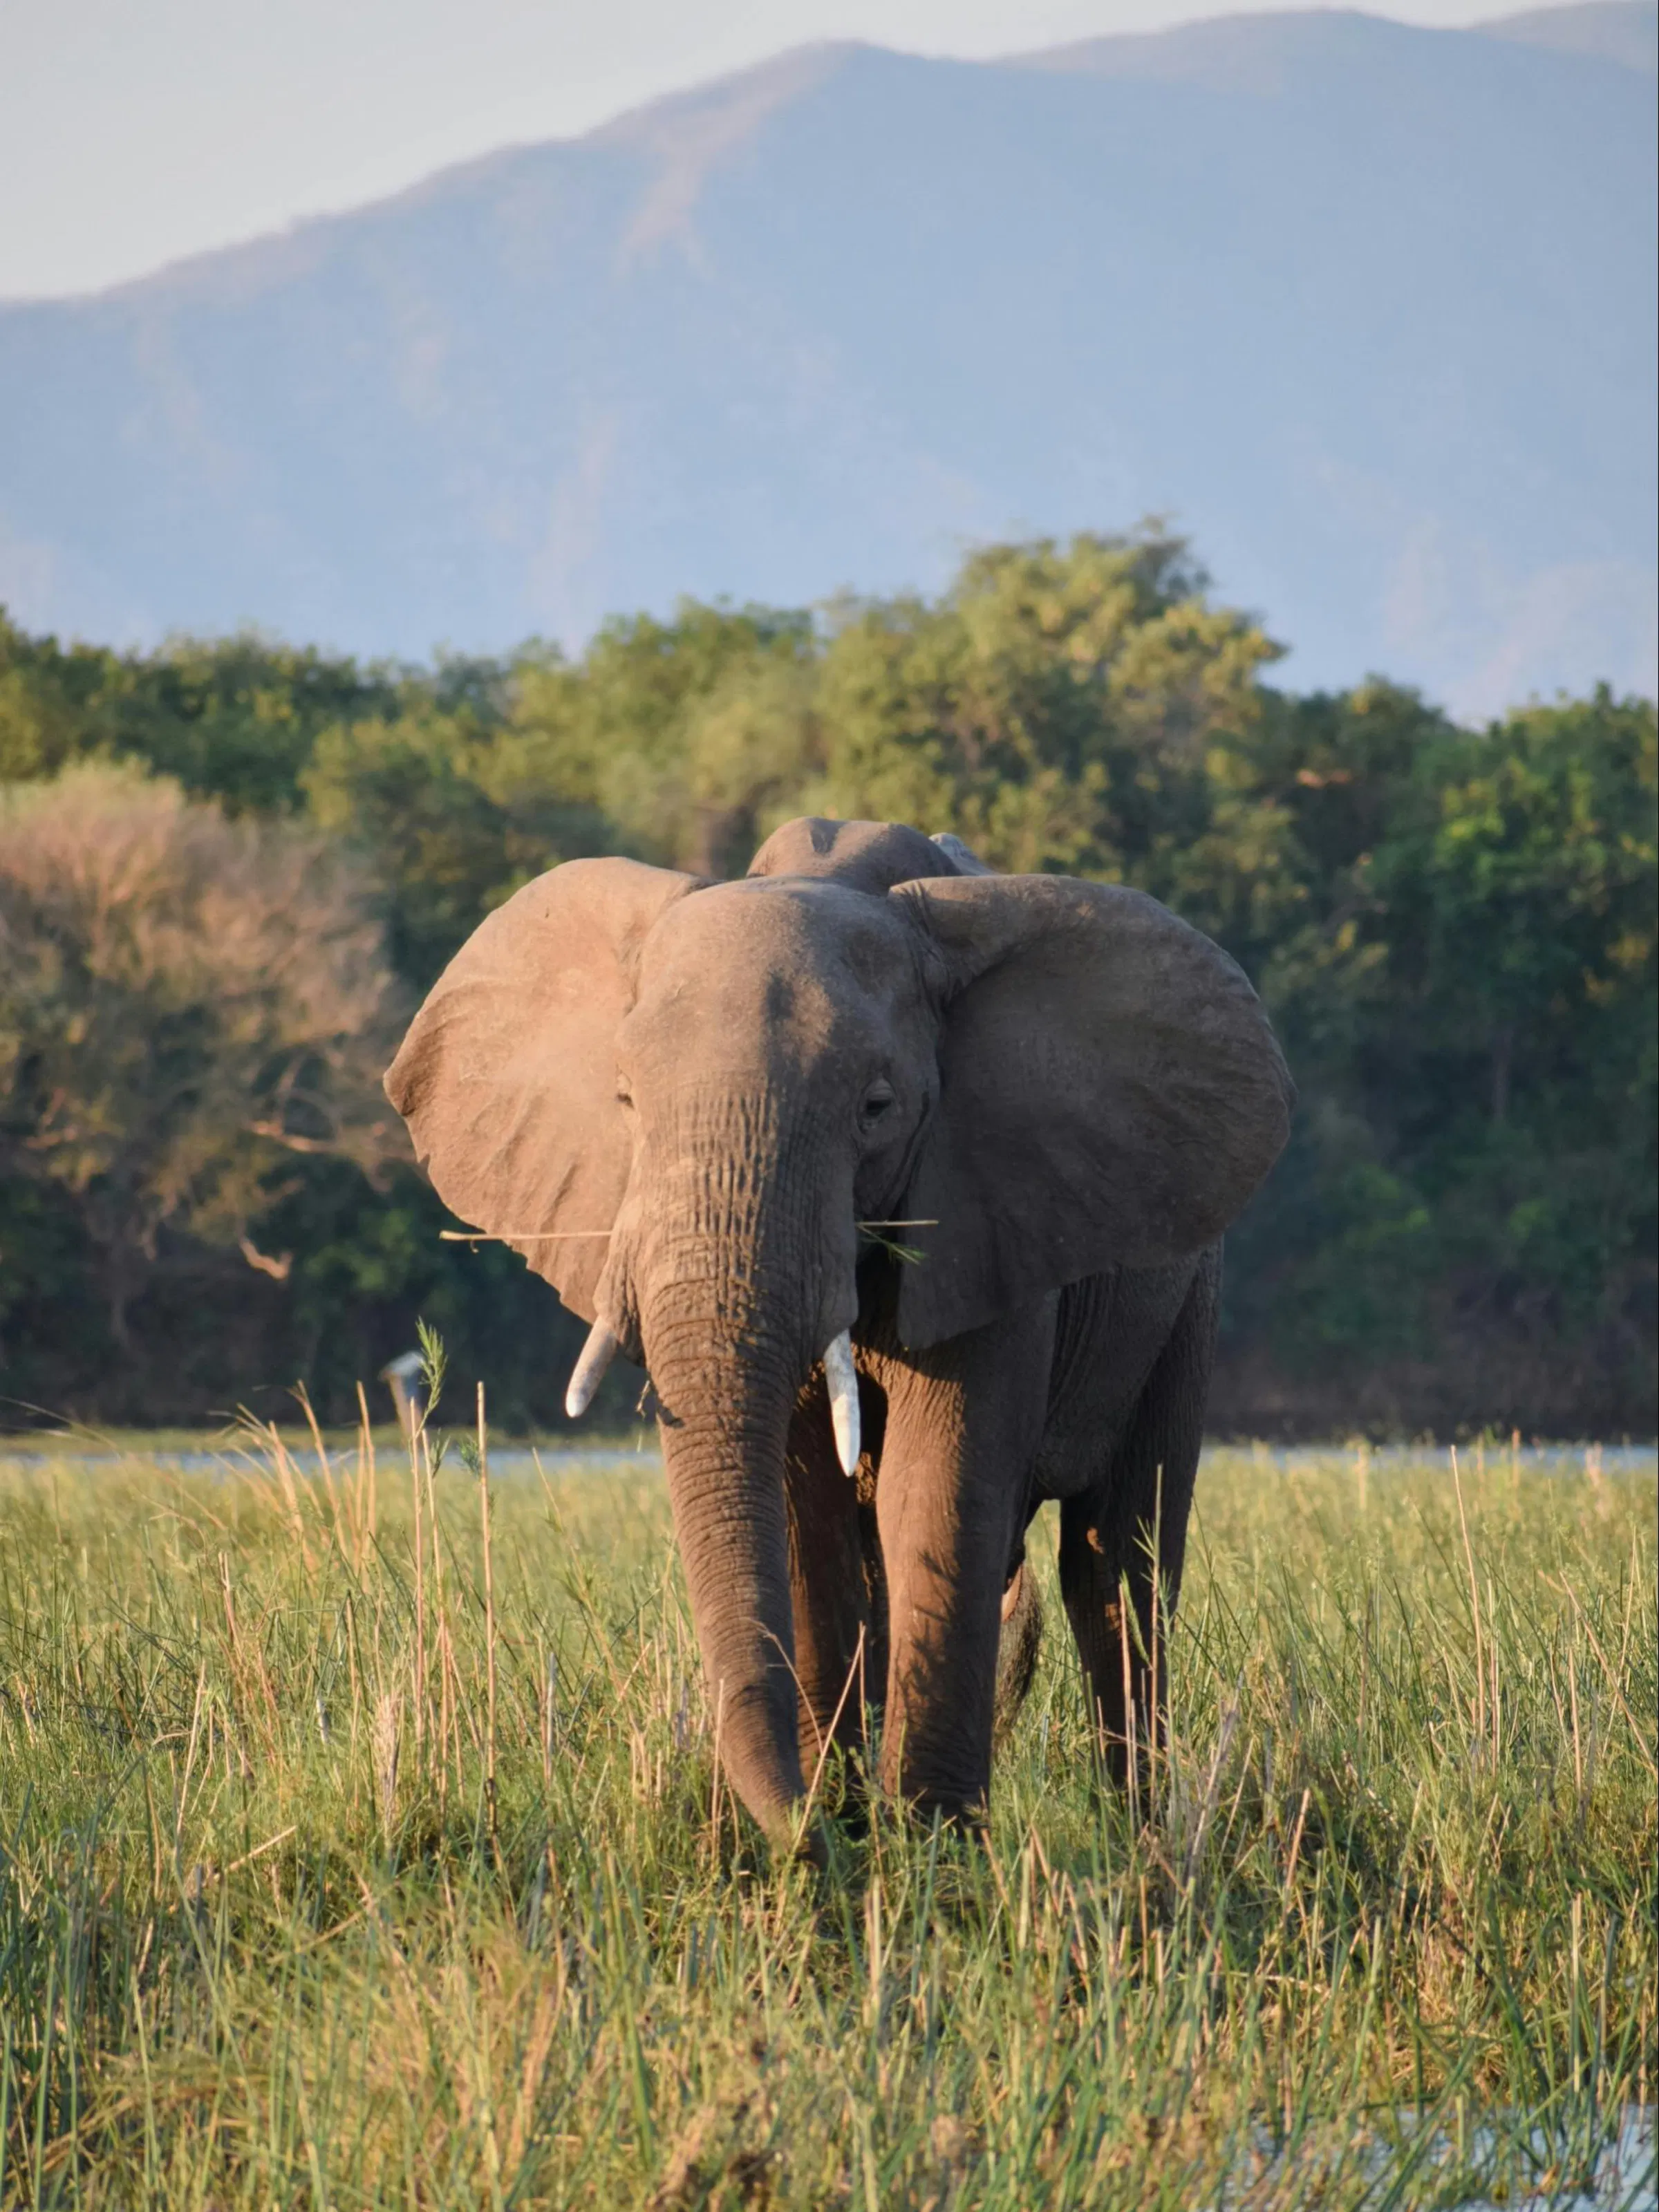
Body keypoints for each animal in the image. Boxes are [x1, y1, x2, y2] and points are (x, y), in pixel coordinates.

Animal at [384, 816, 1292, 1853]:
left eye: (876, 1108)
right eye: (625, 1104)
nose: (798, 1832)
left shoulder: (986, 1208)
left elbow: (934, 1490)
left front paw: (934, 1848)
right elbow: (804, 1508)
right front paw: (847, 1829)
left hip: (1187, 1293)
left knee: (1120, 1562)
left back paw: (1138, 1840)